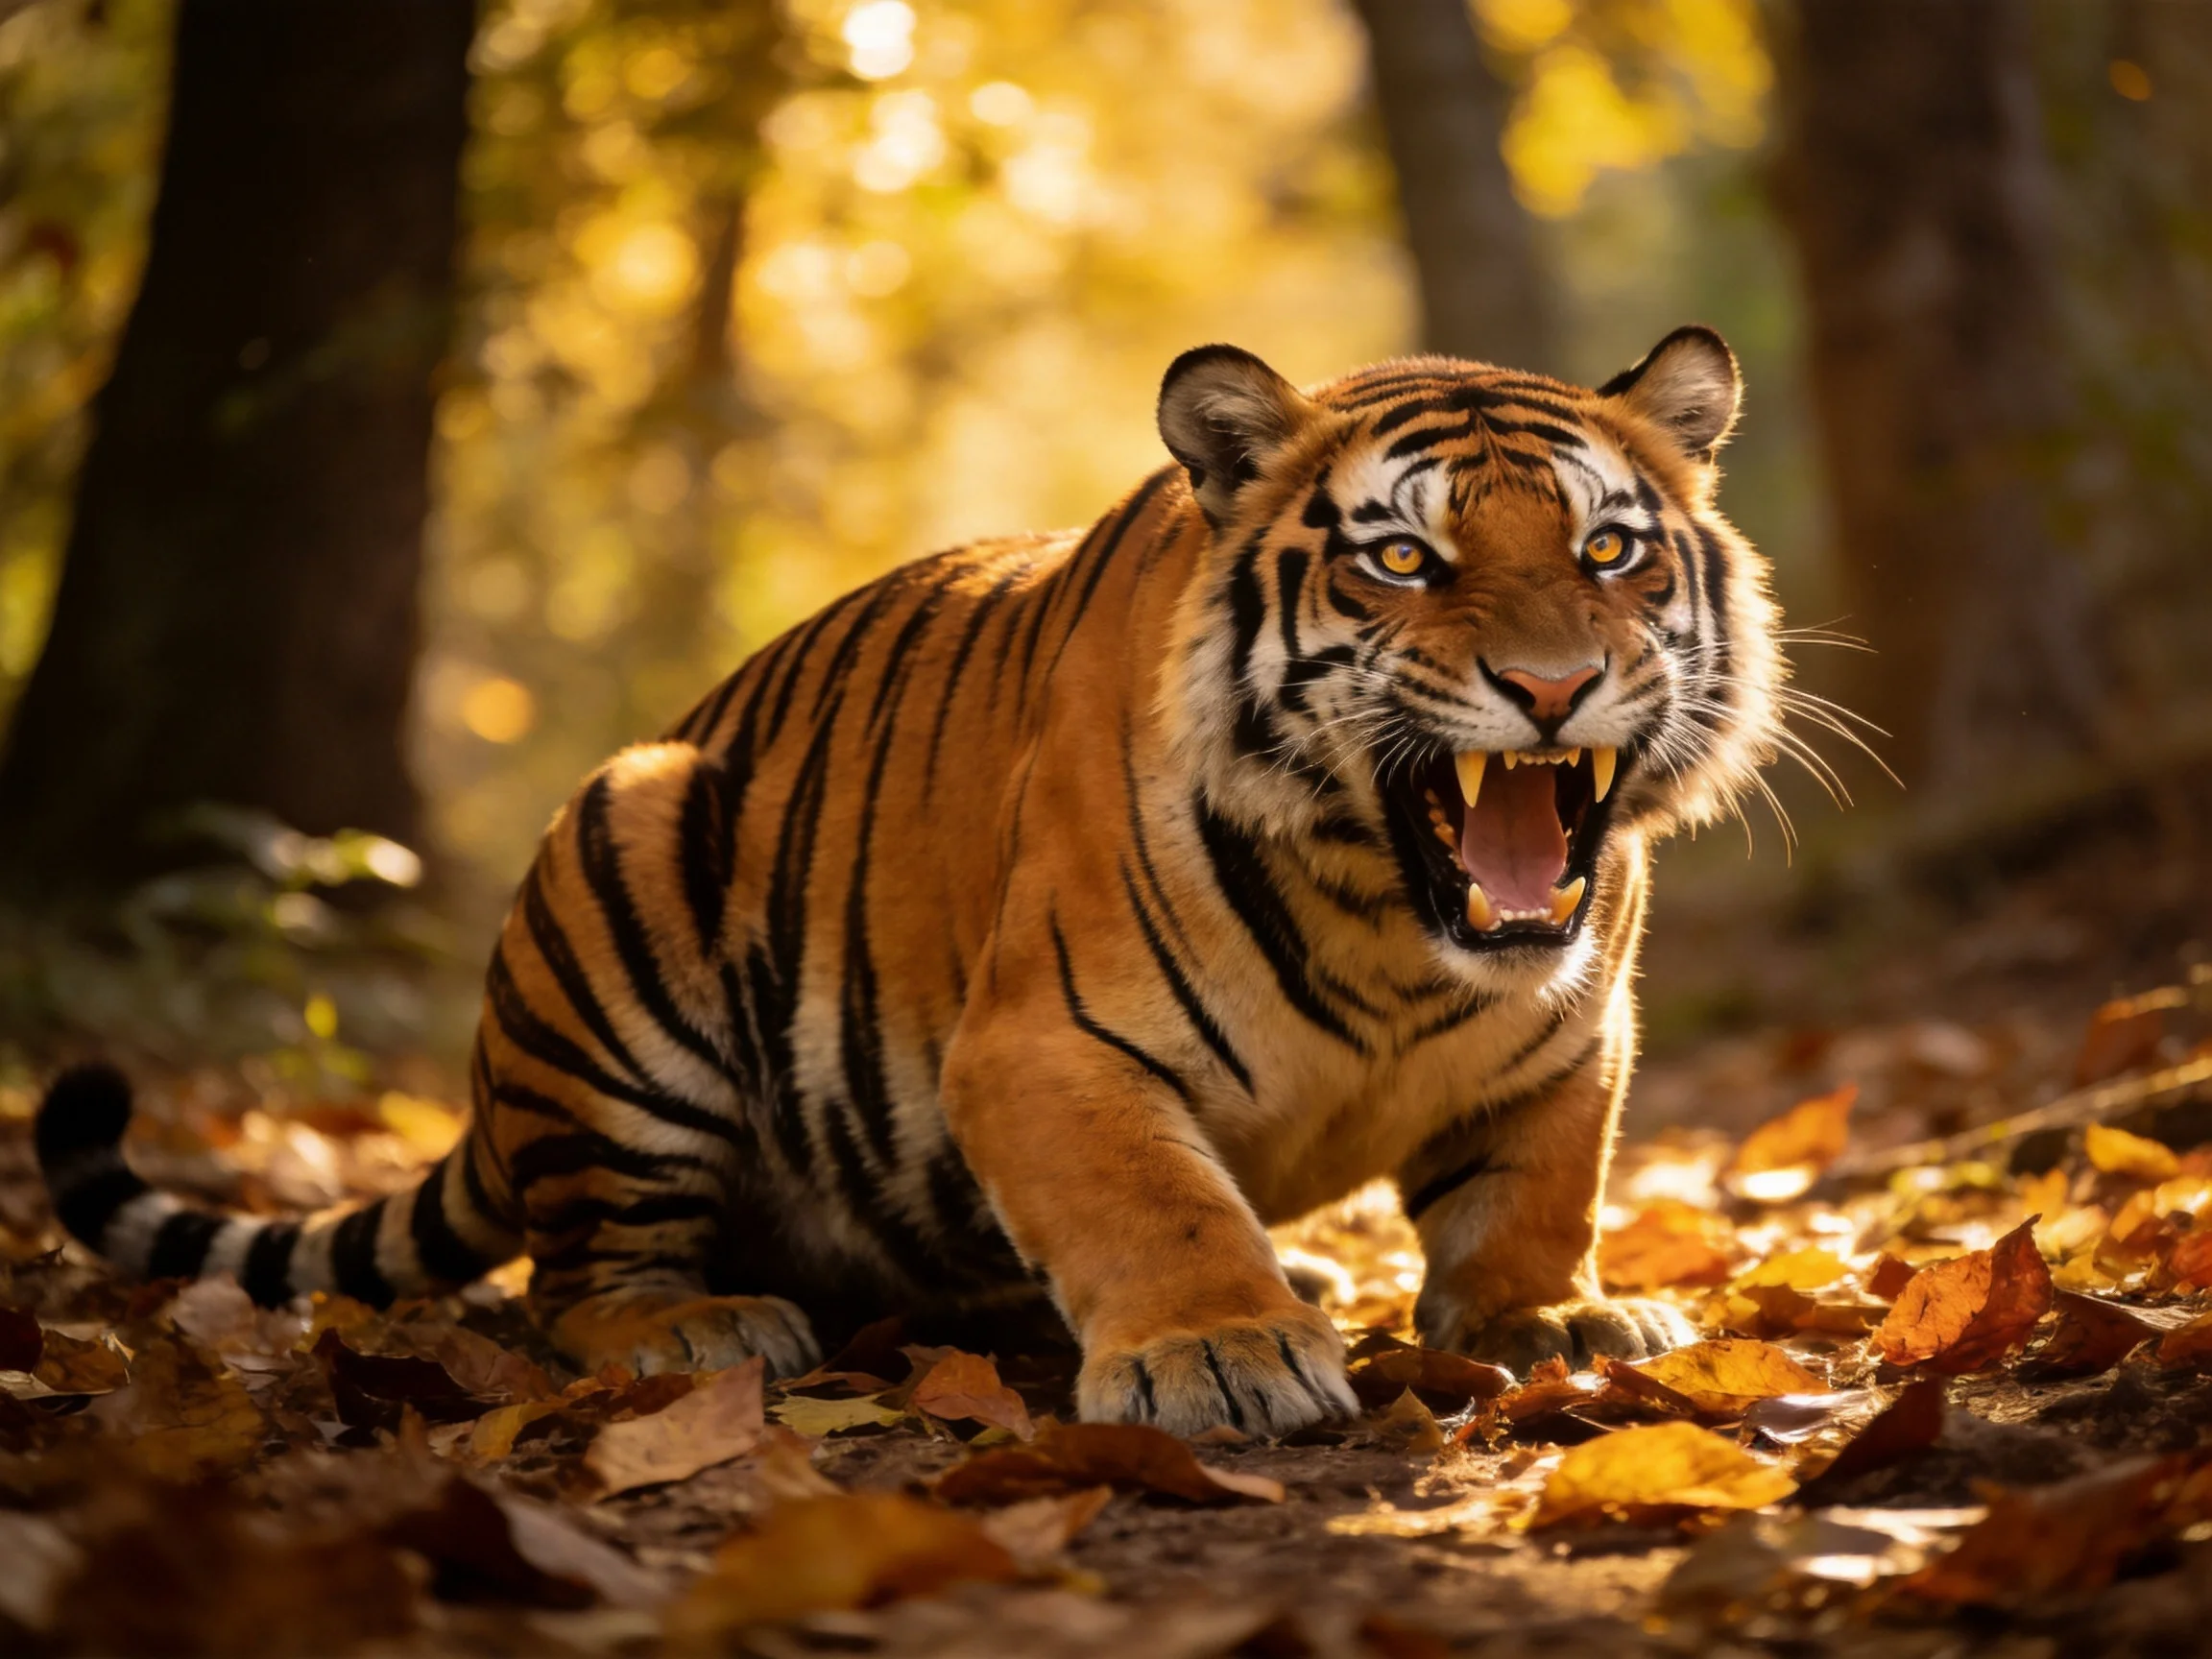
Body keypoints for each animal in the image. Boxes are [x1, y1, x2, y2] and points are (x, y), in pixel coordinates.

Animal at [36, 326, 1780, 1437]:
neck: (1392, 922)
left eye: (1608, 551)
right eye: (1403, 559)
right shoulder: (1043, 1046)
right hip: (625, 856)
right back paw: (691, 1321)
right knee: (573, 1273)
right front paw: (1219, 1351)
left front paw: (1549, 1318)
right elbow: (1150, 1198)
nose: (1551, 688)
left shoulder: (1572, 1040)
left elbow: (1537, 1185)